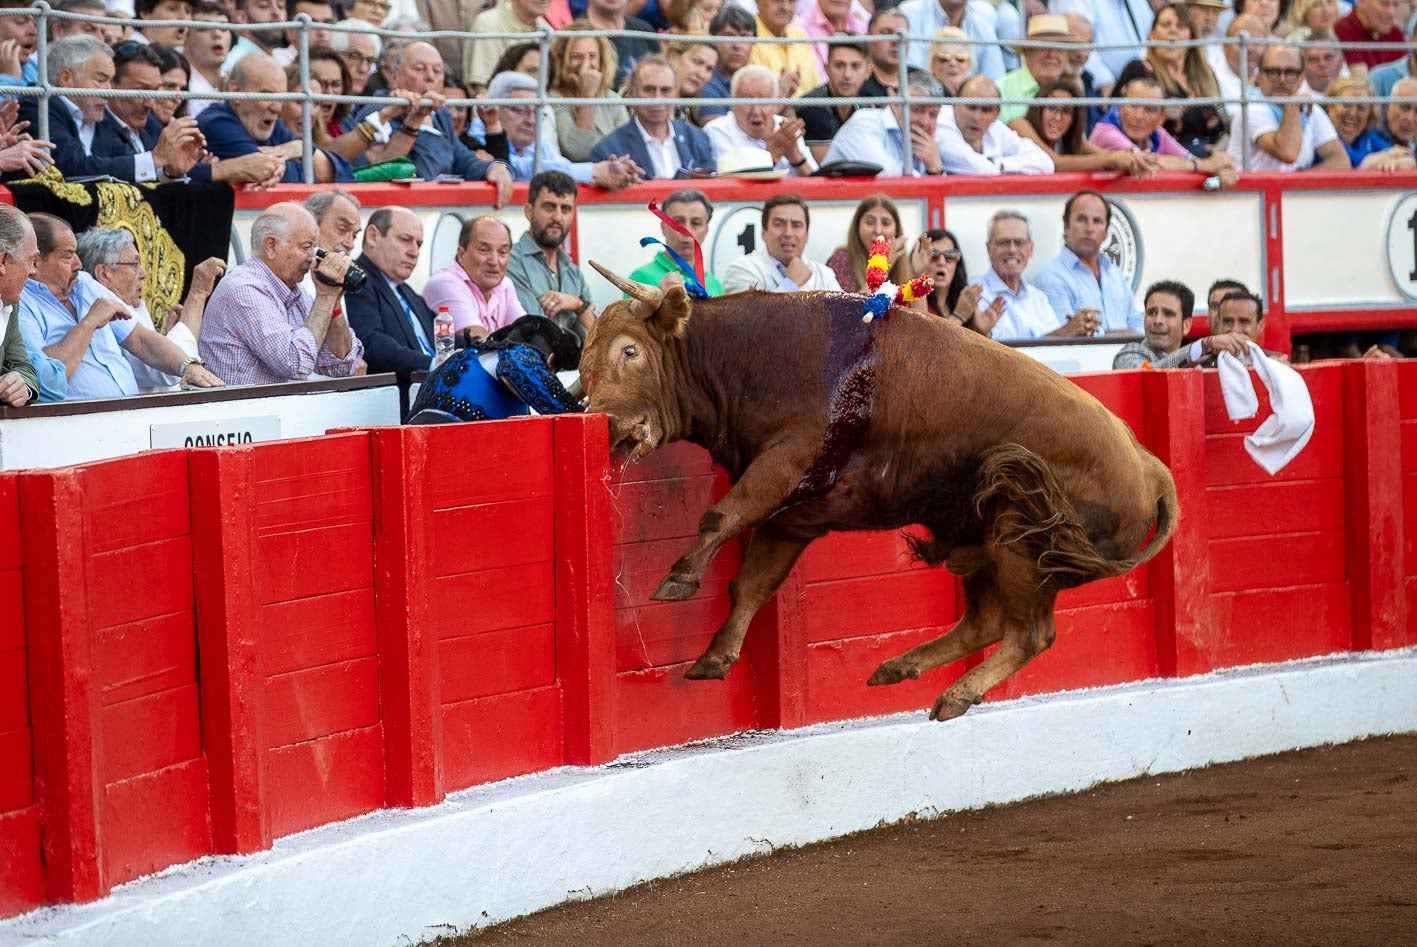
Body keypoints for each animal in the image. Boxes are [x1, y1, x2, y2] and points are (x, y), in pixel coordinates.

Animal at [580, 267, 1178, 725]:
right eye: (583, 364)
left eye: (630, 351)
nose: (607, 427)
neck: (752, 355)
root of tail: (1148, 465)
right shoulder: (794, 515)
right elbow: (752, 583)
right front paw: (714, 657)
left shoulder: (783, 464)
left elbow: (720, 516)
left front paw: (678, 580)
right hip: (986, 542)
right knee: (986, 623)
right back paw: (898, 669)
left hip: (1023, 545)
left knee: (1030, 634)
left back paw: (954, 695)